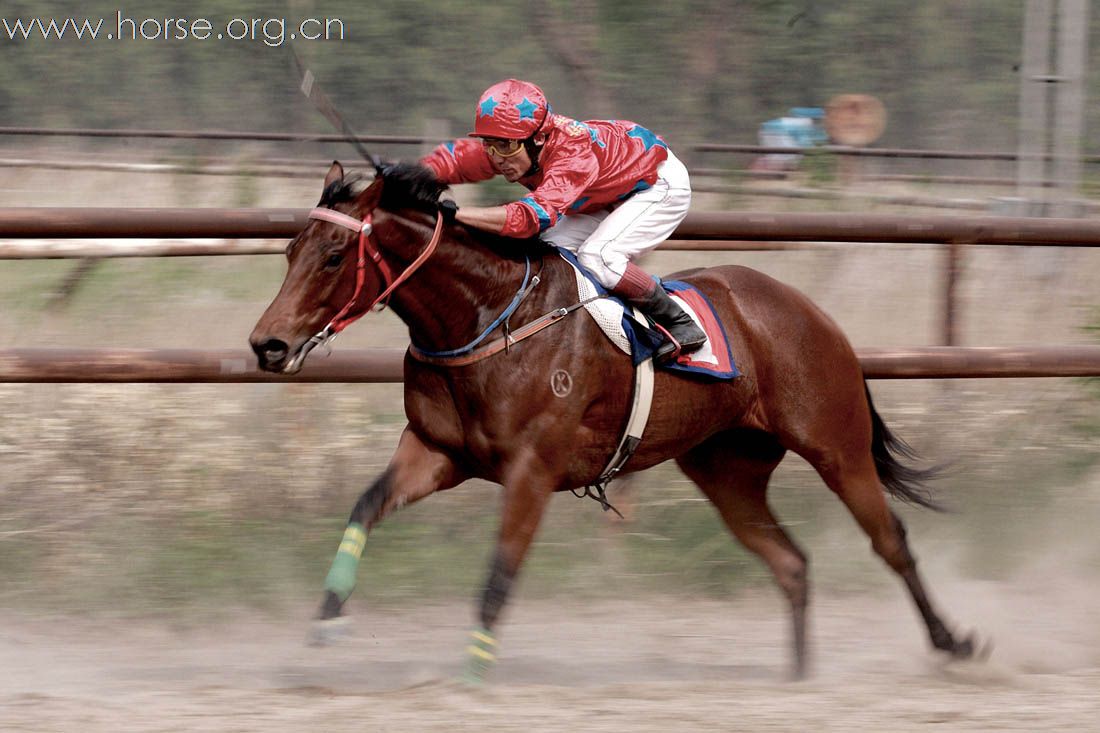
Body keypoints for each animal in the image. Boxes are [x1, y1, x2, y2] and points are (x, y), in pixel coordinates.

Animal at [251, 159, 981, 677]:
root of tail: (809, 309)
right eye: (289, 251)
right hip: (727, 470)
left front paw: (473, 675)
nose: (268, 345)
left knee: (890, 541)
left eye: (334, 256)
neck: (489, 315)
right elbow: (366, 505)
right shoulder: (437, 452)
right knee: (790, 562)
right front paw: (327, 616)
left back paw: (954, 642)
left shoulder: (532, 469)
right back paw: (799, 676)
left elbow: (499, 574)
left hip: (836, 444)